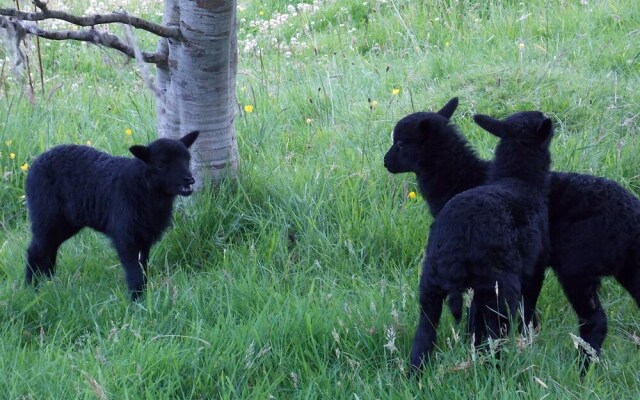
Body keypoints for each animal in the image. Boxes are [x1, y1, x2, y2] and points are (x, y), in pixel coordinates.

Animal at [25, 131, 200, 300]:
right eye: (161, 164)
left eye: (187, 160)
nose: (189, 180)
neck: (142, 187)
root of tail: (35, 163)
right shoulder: (126, 236)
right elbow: (135, 272)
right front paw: (137, 300)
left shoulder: (144, 237)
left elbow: (143, 268)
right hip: (46, 215)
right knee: (36, 251)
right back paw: (31, 289)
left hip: (65, 223)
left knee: (49, 249)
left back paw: (48, 284)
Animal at [402, 110, 552, 372]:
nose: (386, 162)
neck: (517, 178)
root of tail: (457, 235)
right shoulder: (534, 267)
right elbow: (528, 303)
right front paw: (531, 332)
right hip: (499, 286)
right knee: (496, 331)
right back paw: (496, 368)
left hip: (431, 282)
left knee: (425, 332)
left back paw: (415, 373)